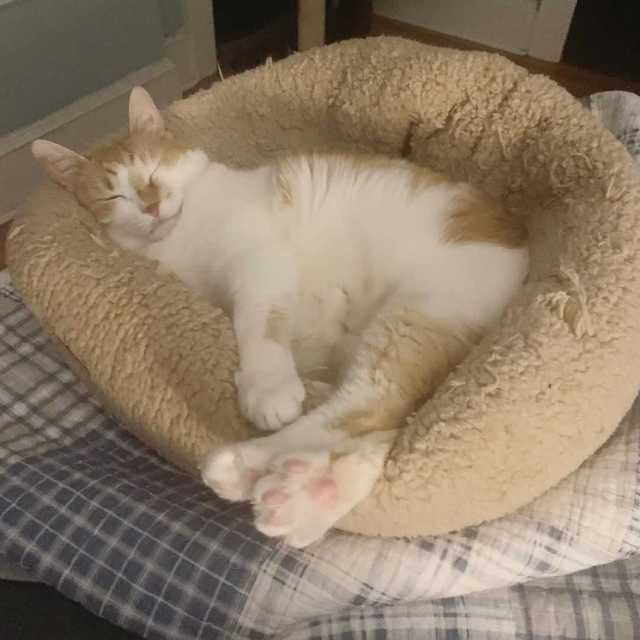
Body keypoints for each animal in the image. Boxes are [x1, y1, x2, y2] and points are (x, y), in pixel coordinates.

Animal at [32, 84, 528, 544]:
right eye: (114, 195)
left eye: (153, 168)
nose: (151, 204)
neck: (177, 236)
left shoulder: (259, 262)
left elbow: (259, 324)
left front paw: (267, 387)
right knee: (382, 428)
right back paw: (304, 494)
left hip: (414, 318)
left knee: (367, 407)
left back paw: (246, 467)